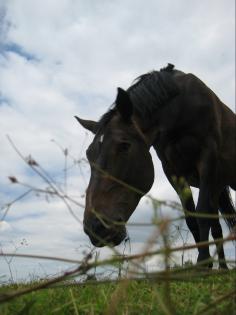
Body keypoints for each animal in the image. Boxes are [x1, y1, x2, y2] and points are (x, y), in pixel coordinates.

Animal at [75, 63, 236, 270]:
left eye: (124, 146)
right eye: (89, 154)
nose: (95, 228)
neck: (180, 109)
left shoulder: (207, 158)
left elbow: (201, 214)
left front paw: (202, 262)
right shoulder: (173, 171)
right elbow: (192, 218)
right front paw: (205, 266)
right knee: (216, 227)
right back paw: (222, 267)